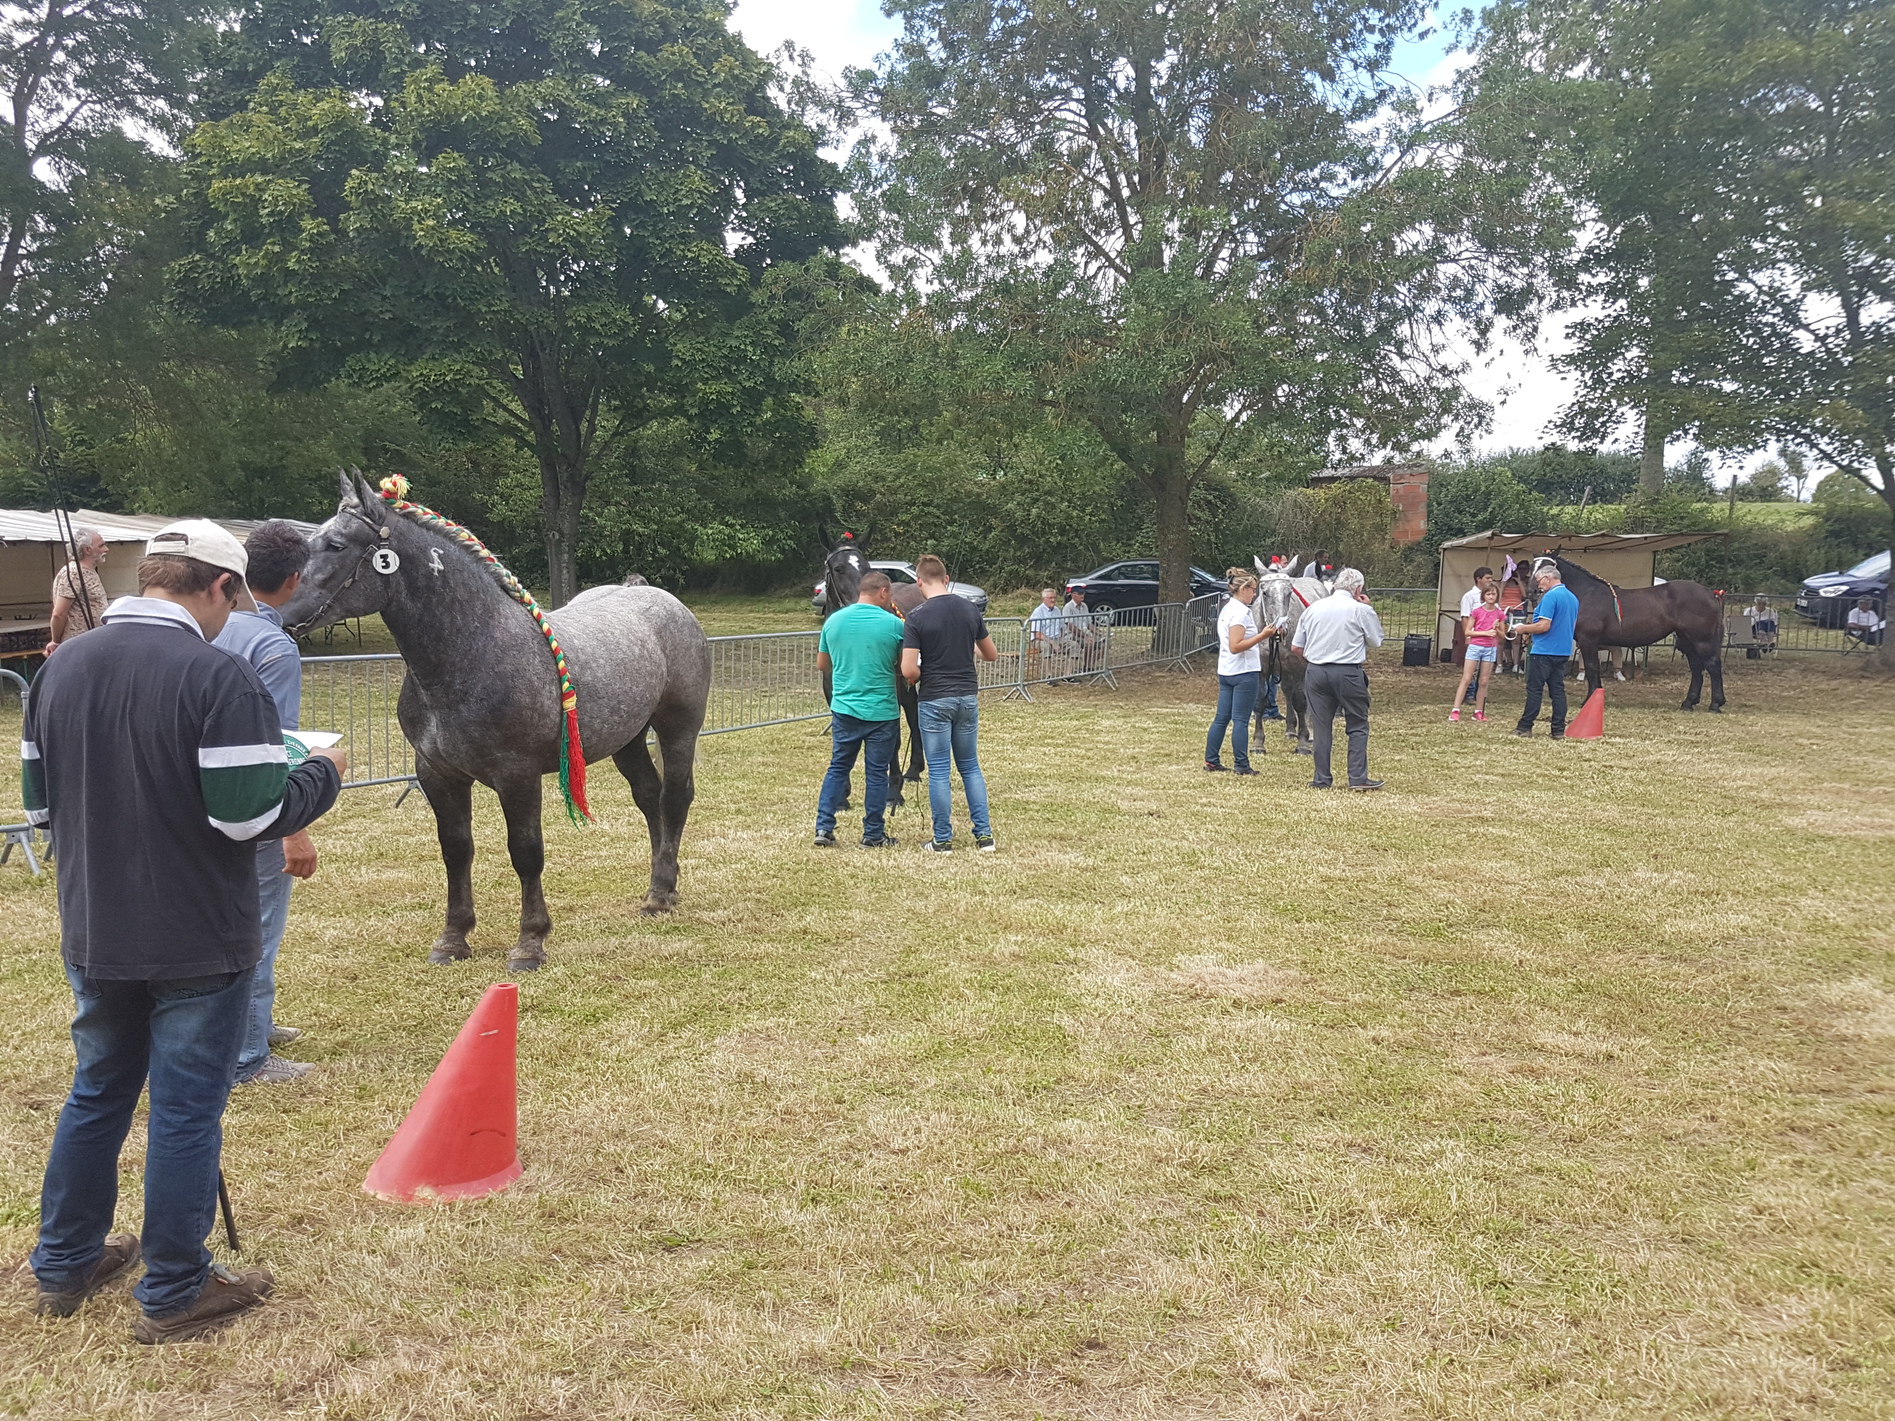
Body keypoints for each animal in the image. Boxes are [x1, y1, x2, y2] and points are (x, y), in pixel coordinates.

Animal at [284, 473, 712, 977]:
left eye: (335, 545)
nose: (285, 617)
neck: (474, 649)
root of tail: (656, 597)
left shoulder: (517, 776)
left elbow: (526, 853)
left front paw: (530, 943)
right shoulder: (437, 774)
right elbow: (456, 850)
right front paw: (453, 938)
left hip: (678, 728)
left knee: (674, 798)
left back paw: (661, 893)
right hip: (625, 740)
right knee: (648, 798)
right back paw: (660, 885)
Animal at [1561, 557, 1728, 712]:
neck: (1588, 594)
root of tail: (1711, 594)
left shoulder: (1588, 641)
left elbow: (1591, 668)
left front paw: (1588, 700)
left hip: (1702, 641)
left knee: (1713, 666)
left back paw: (1715, 704)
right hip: (1688, 642)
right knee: (1697, 668)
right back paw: (1688, 703)